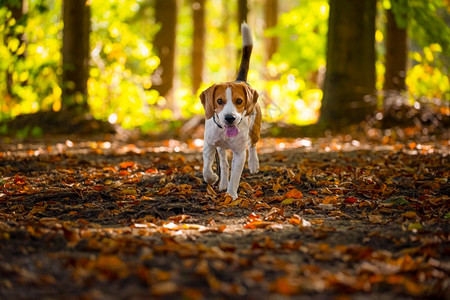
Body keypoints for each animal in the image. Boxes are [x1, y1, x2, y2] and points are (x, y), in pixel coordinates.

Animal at [200, 22, 260, 199]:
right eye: (219, 101)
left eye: (239, 101)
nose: (229, 118)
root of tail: (239, 80)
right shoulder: (209, 145)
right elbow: (206, 169)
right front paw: (213, 178)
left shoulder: (239, 153)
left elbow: (235, 176)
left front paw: (231, 195)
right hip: (220, 149)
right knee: (224, 164)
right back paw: (222, 182)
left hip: (255, 127)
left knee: (253, 144)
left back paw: (253, 164)